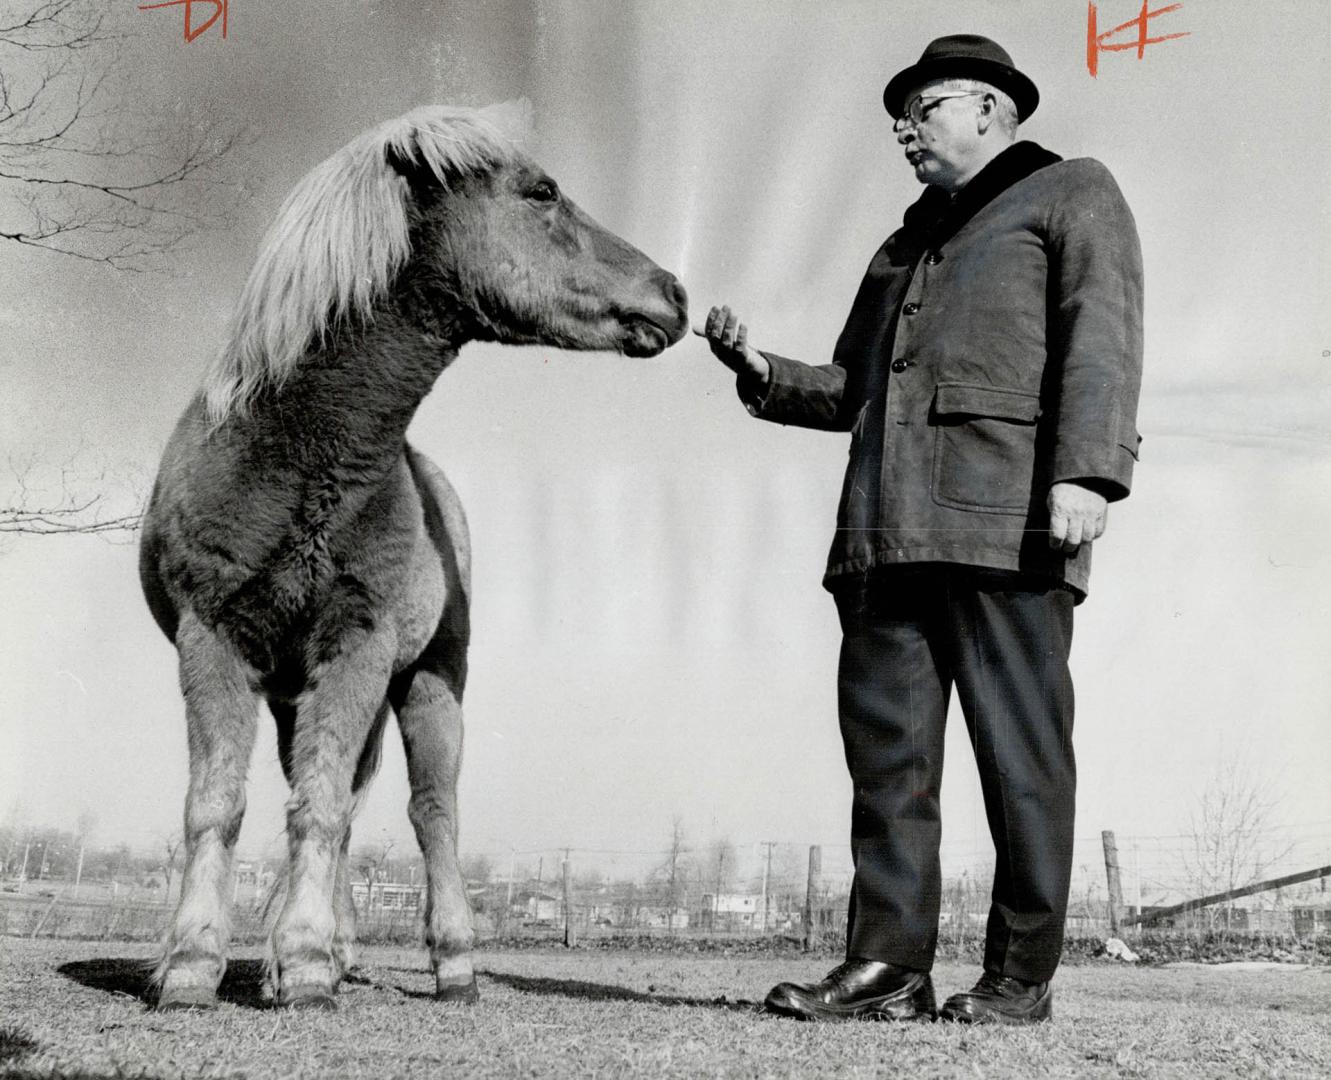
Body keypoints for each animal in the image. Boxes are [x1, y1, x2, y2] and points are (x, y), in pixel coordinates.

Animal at [137, 105, 686, 1012]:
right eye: (541, 191)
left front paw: (305, 965)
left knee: (433, 812)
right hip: (296, 695)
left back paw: (450, 964)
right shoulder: (213, 641)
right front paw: (192, 965)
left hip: (432, 680)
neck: (288, 452)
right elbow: (220, 804)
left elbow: (321, 808)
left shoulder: (359, 646)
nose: (673, 293)